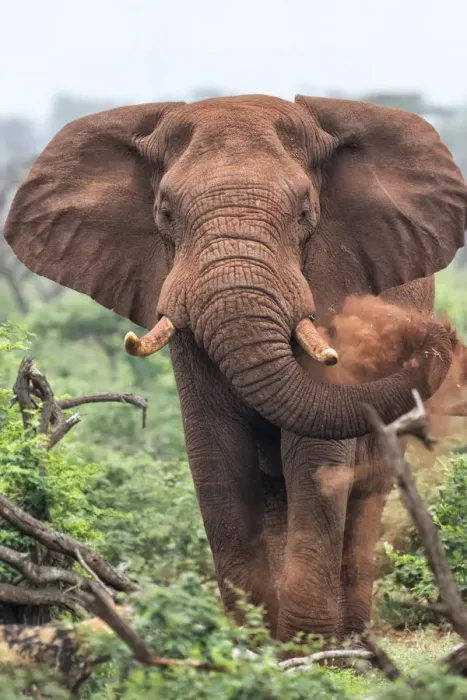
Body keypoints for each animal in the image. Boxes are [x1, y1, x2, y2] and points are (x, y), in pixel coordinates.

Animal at [4, 94, 467, 643]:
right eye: (165, 213)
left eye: (306, 213)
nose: (440, 332)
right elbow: (216, 450)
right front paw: (253, 643)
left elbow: (315, 455)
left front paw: (308, 648)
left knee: (366, 489)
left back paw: (354, 639)